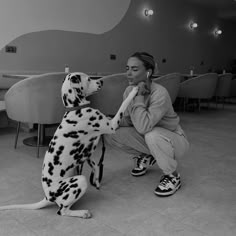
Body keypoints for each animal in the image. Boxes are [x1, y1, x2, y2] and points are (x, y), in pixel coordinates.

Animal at [0, 73, 138, 218]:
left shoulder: (86, 152)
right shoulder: (111, 125)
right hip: (79, 181)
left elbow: (95, 165)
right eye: (88, 79)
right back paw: (82, 213)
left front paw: (96, 180)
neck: (76, 109)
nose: (101, 81)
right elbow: (123, 104)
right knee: (62, 211)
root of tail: (48, 197)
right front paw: (134, 91)